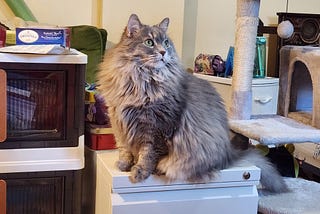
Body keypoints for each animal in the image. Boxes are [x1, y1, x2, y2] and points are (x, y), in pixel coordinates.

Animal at [97, 14, 288, 193]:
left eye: (166, 42)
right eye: (149, 42)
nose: (163, 52)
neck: (139, 82)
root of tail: (229, 154)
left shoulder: (156, 127)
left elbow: (148, 153)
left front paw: (140, 171)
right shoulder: (118, 121)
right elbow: (124, 148)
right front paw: (124, 164)